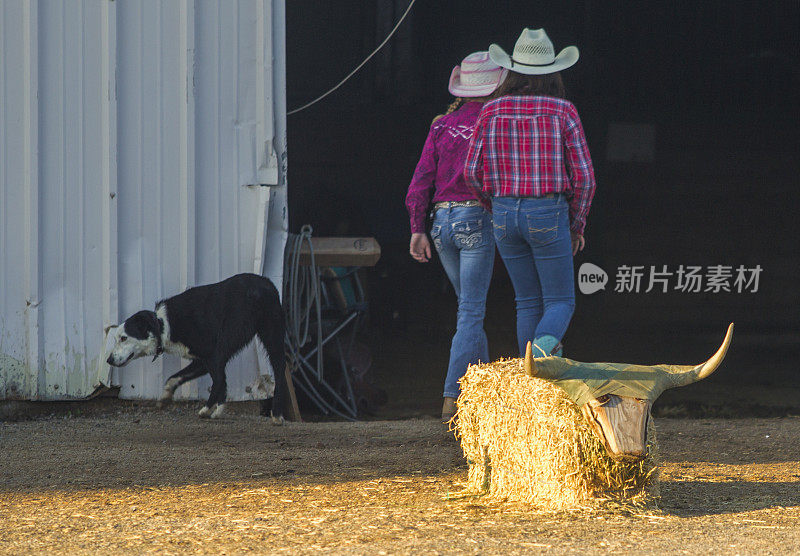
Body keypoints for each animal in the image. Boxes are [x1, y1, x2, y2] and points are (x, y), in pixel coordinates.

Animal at [106, 274, 288, 422]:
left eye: (123, 338)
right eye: (116, 338)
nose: (109, 360)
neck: (163, 325)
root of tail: (266, 284)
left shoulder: (212, 356)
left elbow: (219, 382)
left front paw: (214, 410)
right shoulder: (202, 361)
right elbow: (173, 378)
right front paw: (165, 397)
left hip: (234, 339)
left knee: (226, 379)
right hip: (271, 337)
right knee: (278, 370)